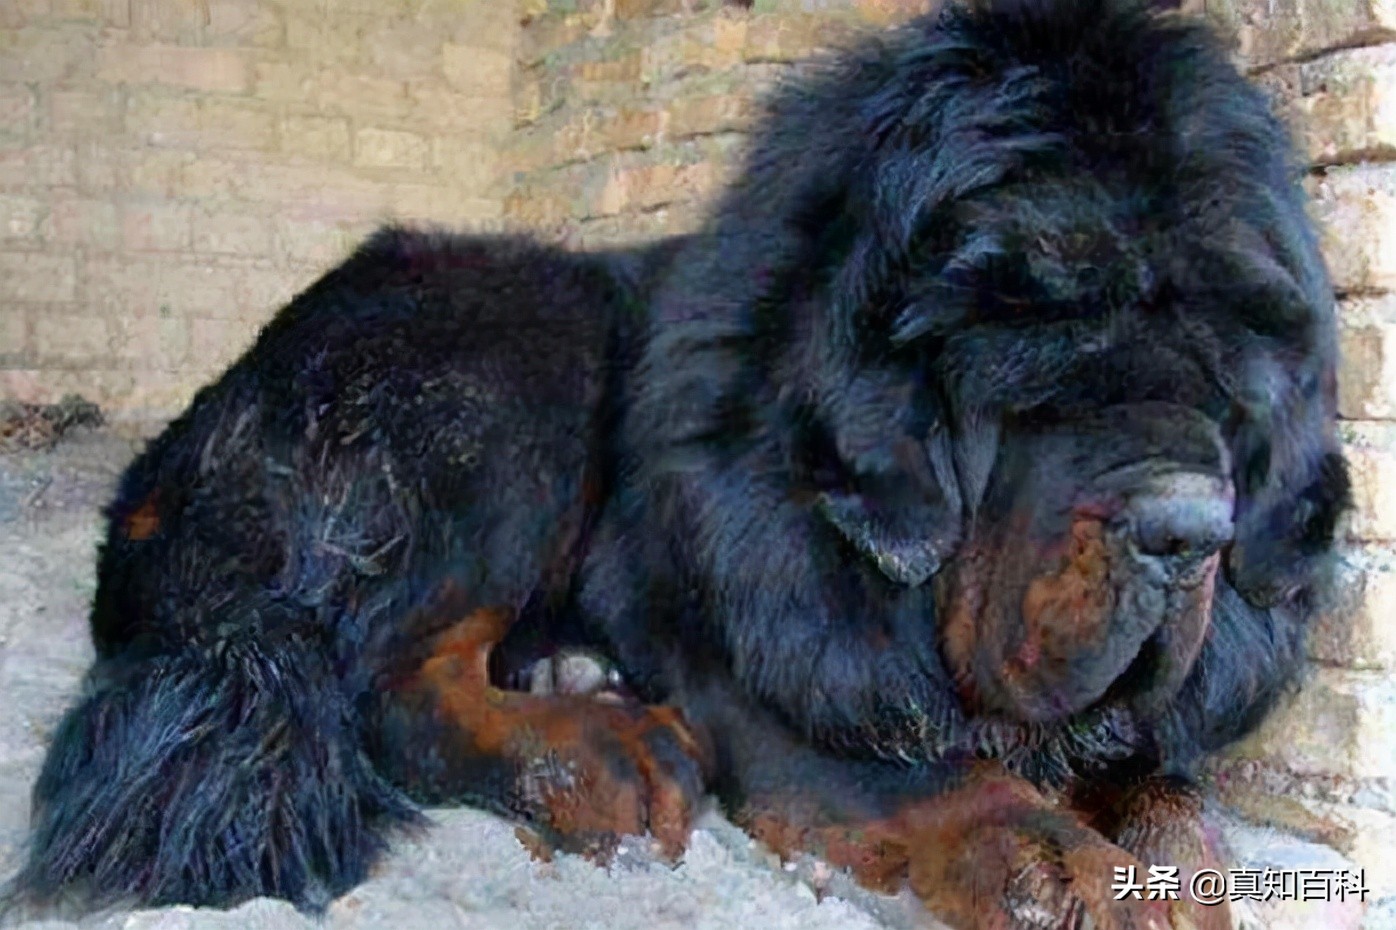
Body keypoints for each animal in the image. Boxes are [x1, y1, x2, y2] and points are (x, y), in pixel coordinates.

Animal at [5, 3, 1345, 921]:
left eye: (1220, 385)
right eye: (1038, 361)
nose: (1186, 530)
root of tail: (183, 440)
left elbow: (1176, 799)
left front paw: (1163, 856)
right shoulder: (756, 672)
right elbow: (953, 780)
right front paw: (1067, 863)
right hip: (526, 346)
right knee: (381, 672)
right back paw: (596, 750)